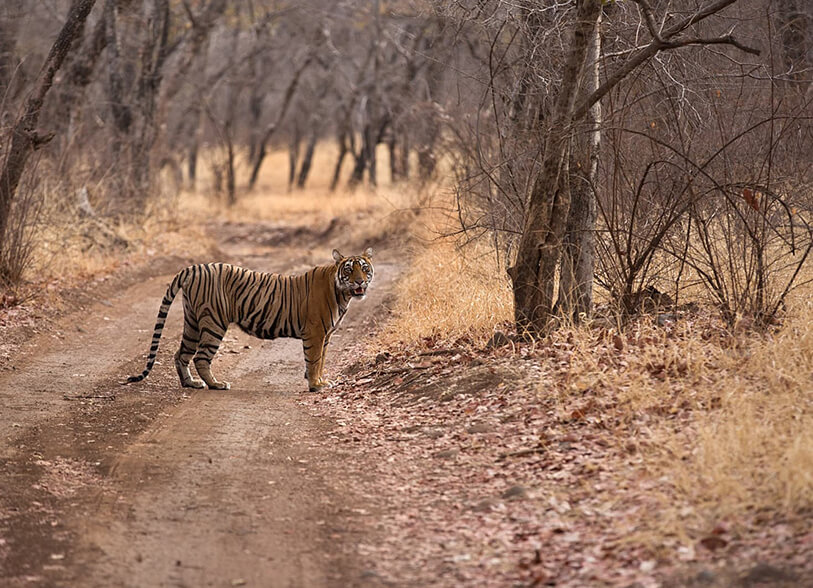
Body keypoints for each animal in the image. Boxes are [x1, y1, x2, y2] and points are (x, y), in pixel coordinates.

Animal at [125, 247, 372, 390]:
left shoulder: (326, 336)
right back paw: (216, 384)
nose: (360, 281)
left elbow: (321, 361)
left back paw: (191, 383)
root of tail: (194, 267)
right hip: (214, 322)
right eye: (349, 270)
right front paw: (315, 386)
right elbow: (313, 360)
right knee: (201, 357)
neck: (342, 294)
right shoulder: (315, 332)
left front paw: (321, 381)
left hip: (192, 321)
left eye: (364, 269)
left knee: (181, 354)